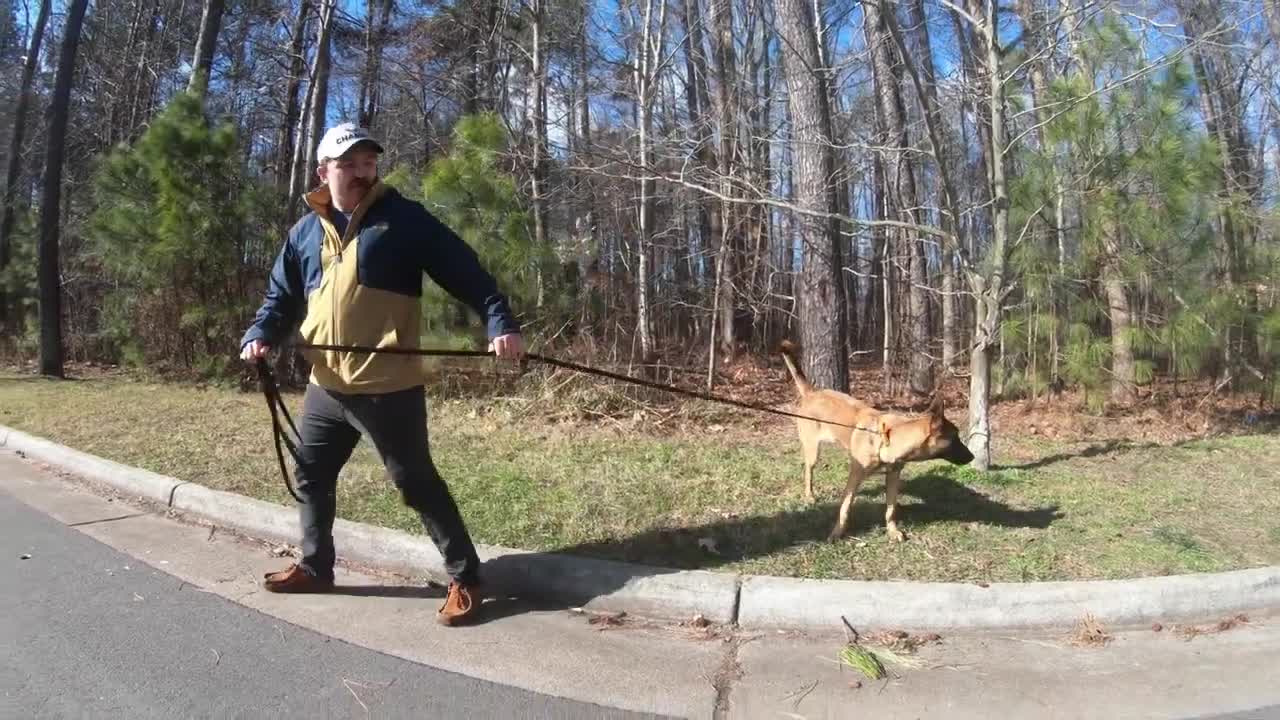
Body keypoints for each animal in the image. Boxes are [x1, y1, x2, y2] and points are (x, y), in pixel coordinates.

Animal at [773, 340, 972, 538]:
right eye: (955, 438)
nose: (972, 457)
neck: (888, 438)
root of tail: (812, 393)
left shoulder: (893, 476)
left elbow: (890, 509)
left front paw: (892, 531)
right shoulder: (854, 477)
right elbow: (845, 507)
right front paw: (837, 532)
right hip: (813, 450)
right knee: (808, 470)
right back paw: (809, 495)